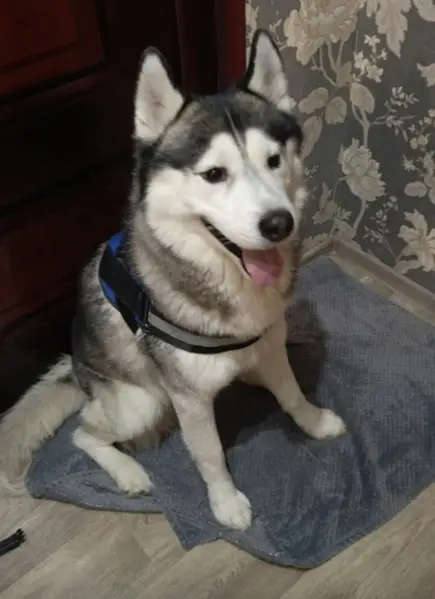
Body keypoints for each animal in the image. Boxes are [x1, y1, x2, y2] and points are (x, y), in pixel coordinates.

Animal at [0, 30, 345, 531]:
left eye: (274, 160)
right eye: (214, 174)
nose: (279, 223)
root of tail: (77, 370)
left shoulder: (271, 344)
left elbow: (292, 393)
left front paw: (314, 422)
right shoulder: (190, 400)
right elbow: (210, 455)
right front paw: (225, 502)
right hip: (141, 402)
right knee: (84, 432)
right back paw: (127, 471)